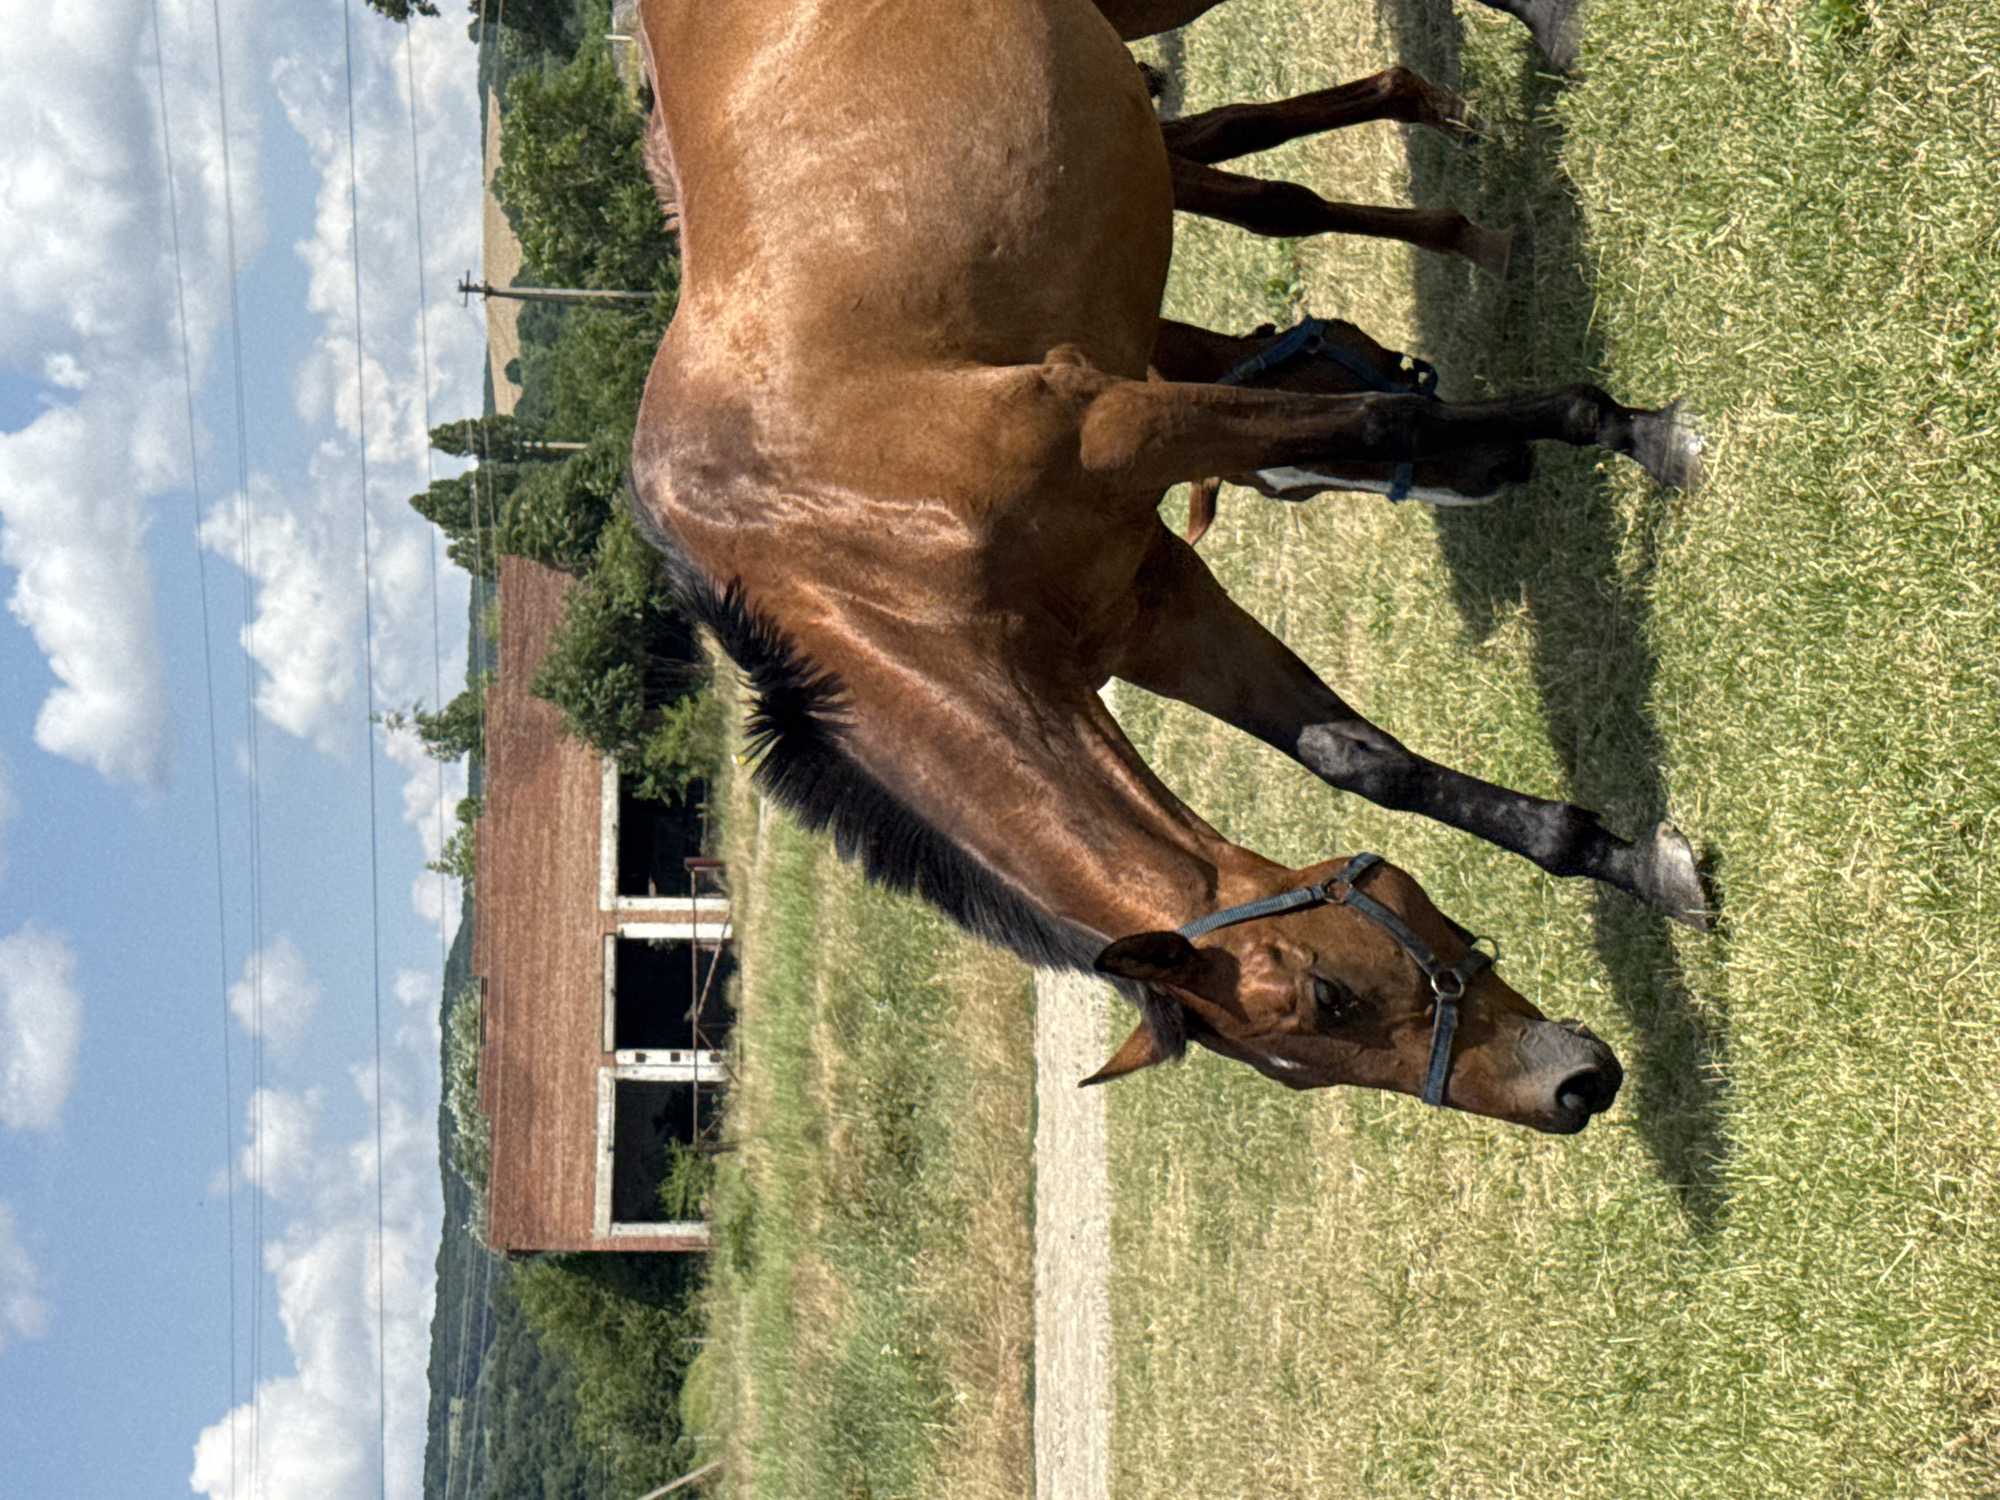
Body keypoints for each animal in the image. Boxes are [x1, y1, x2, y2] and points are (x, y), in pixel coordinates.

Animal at [628, 0, 1705, 1134]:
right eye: (1307, 1054)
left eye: (1327, 991)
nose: (1571, 1090)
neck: (856, 543)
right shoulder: (1150, 611)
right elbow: (1359, 759)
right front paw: (1627, 861)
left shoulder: (1125, 428)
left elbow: (1384, 415)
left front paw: (1633, 429)